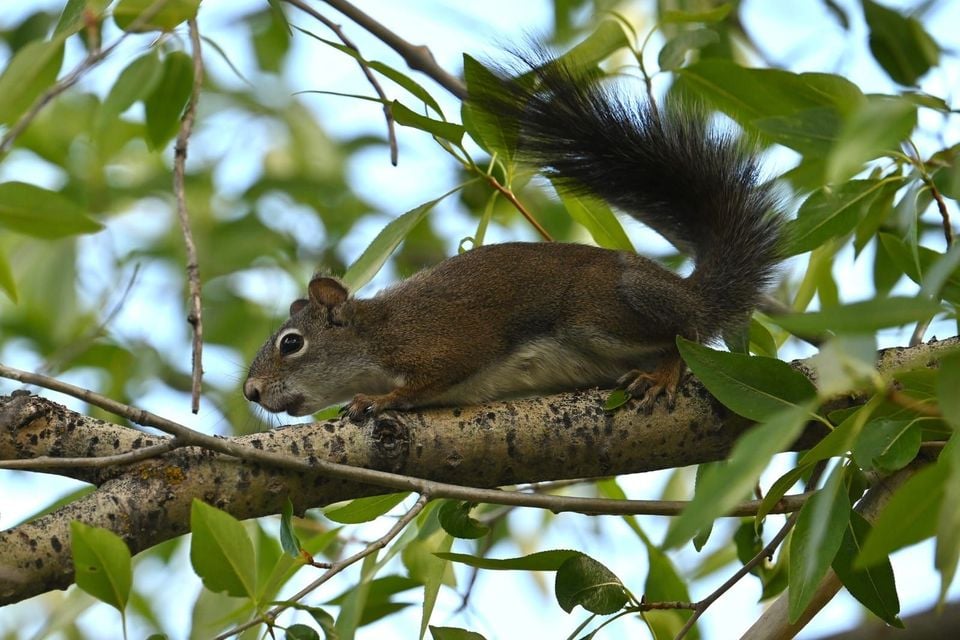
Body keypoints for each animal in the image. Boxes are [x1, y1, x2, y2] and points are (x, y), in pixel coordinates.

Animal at [243, 50, 783, 421]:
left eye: (291, 344)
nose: (251, 392)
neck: (375, 336)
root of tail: (694, 294)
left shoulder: (439, 343)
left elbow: (426, 380)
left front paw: (381, 399)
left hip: (603, 310)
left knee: (683, 337)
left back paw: (662, 373)